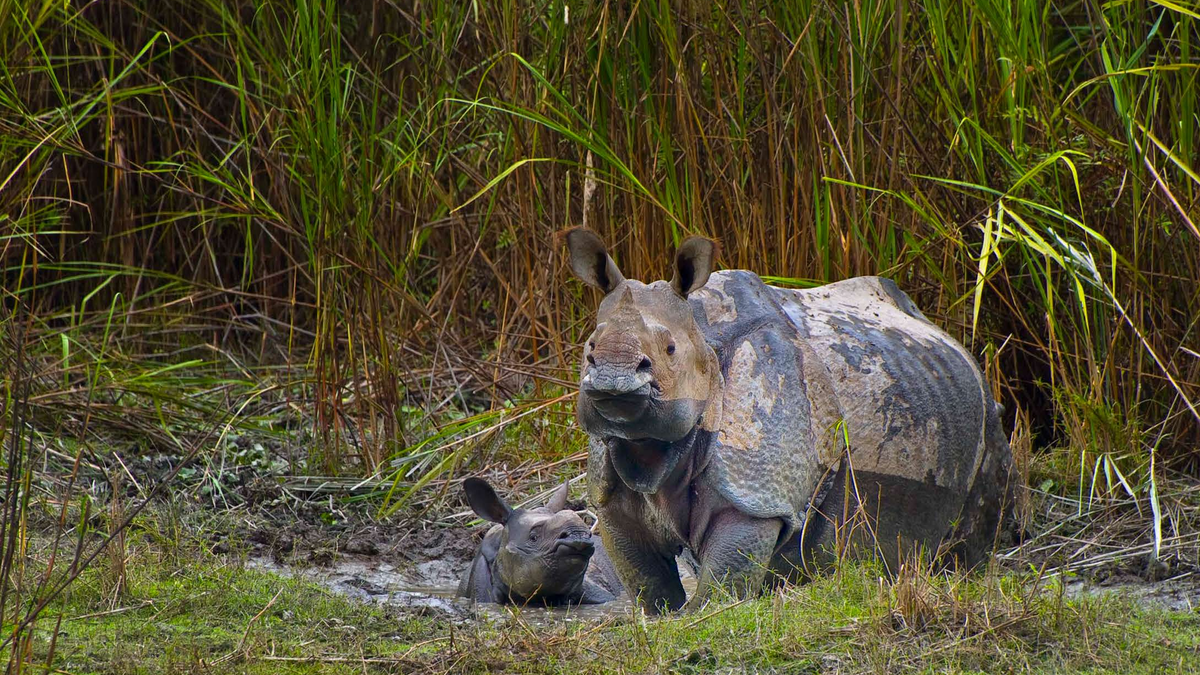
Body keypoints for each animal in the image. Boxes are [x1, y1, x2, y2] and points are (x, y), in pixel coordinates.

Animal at [562, 228, 1016, 613]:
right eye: (589, 347)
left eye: (670, 349)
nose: (613, 377)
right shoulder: (613, 486)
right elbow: (646, 580)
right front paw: (666, 615)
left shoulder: (756, 491)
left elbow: (726, 574)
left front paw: (705, 613)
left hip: (979, 408)